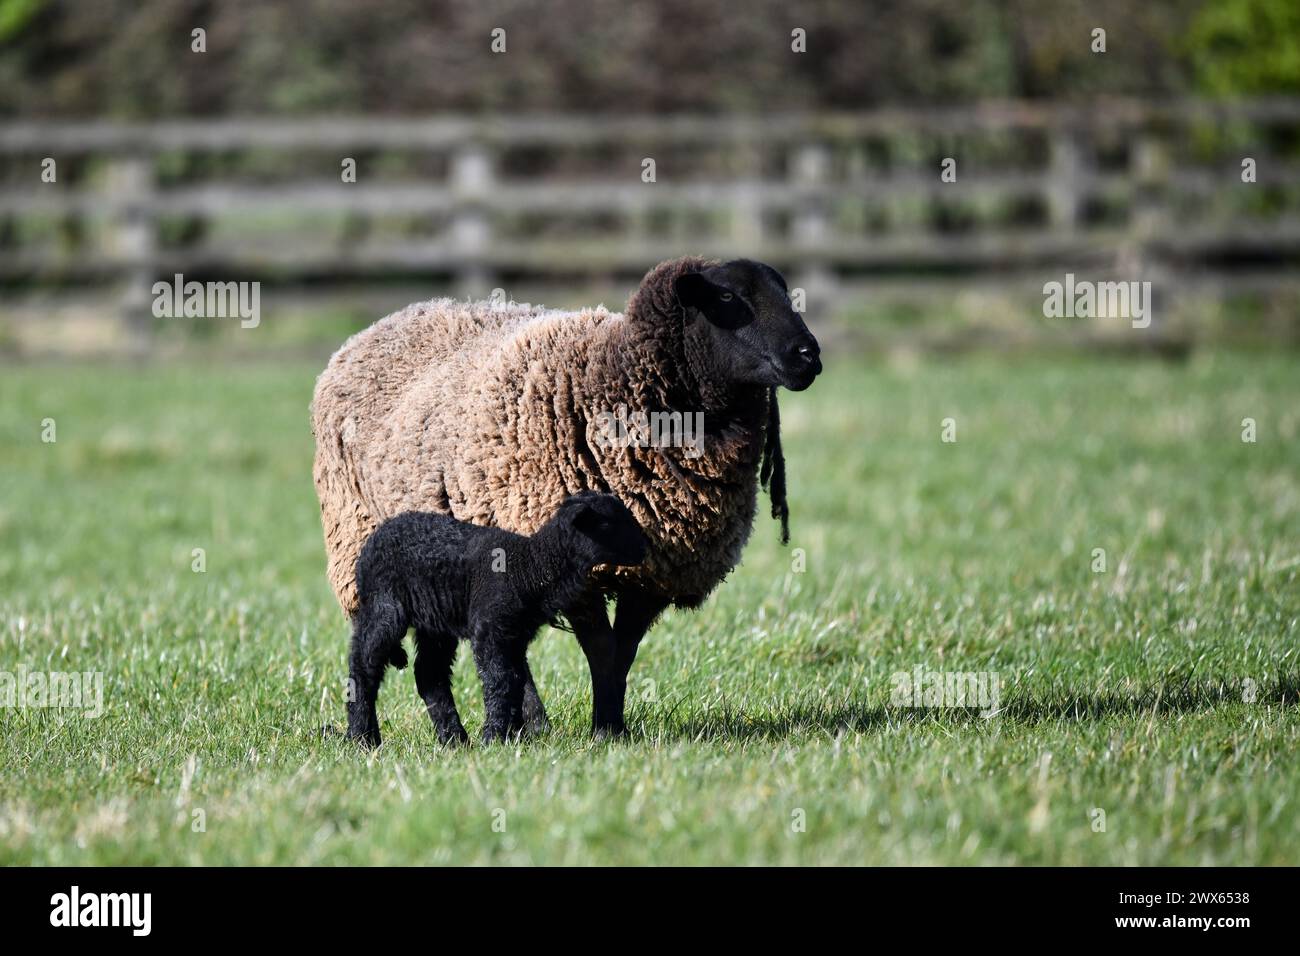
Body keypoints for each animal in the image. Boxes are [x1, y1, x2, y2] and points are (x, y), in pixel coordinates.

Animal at [347, 492, 648, 747]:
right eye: (607, 523)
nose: (645, 548)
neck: (529, 568)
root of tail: (370, 545)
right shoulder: (489, 629)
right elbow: (499, 680)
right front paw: (493, 737)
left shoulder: (515, 635)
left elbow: (515, 680)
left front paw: (512, 736)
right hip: (384, 607)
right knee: (363, 665)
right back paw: (363, 738)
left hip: (435, 621)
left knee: (429, 674)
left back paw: (454, 740)